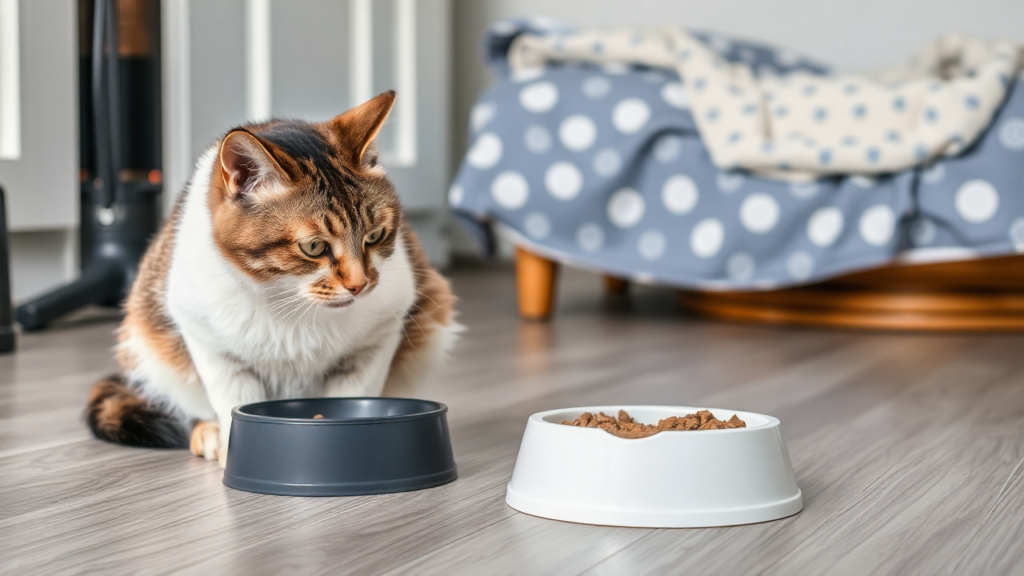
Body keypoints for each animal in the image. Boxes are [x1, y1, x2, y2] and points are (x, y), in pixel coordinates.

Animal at [83, 90, 460, 467]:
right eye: (313, 246)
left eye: (376, 235)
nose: (359, 285)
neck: (288, 302)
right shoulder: (208, 342)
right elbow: (231, 398)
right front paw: (231, 448)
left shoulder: (377, 340)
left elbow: (357, 394)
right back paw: (208, 433)